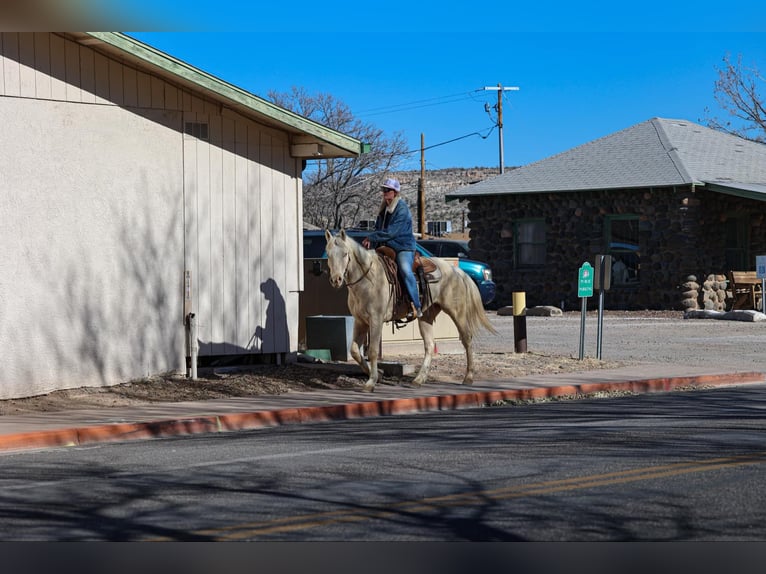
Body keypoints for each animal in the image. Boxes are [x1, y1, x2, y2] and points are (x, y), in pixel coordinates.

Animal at [324, 229, 497, 392]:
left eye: (345, 254)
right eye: (329, 255)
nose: (336, 279)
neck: (368, 279)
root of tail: (457, 271)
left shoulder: (376, 319)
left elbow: (372, 351)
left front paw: (371, 382)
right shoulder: (360, 321)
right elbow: (354, 350)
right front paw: (378, 374)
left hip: (457, 311)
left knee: (466, 338)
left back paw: (468, 377)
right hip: (426, 317)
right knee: (429, 345)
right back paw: (419, 380)